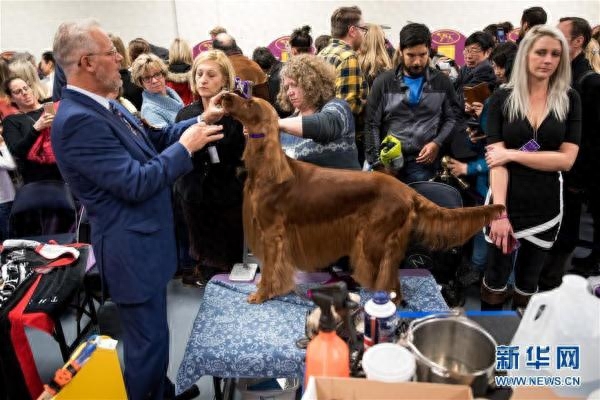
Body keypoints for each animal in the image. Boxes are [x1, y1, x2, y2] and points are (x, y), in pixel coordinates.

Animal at [219, 94, 502, 304]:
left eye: (249, 102)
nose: (225, 96)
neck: (269, 169)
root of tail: (406, 190)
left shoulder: (271, 233)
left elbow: (269, 269)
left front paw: (261, 294)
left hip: (373, 240)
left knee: (390, 282)